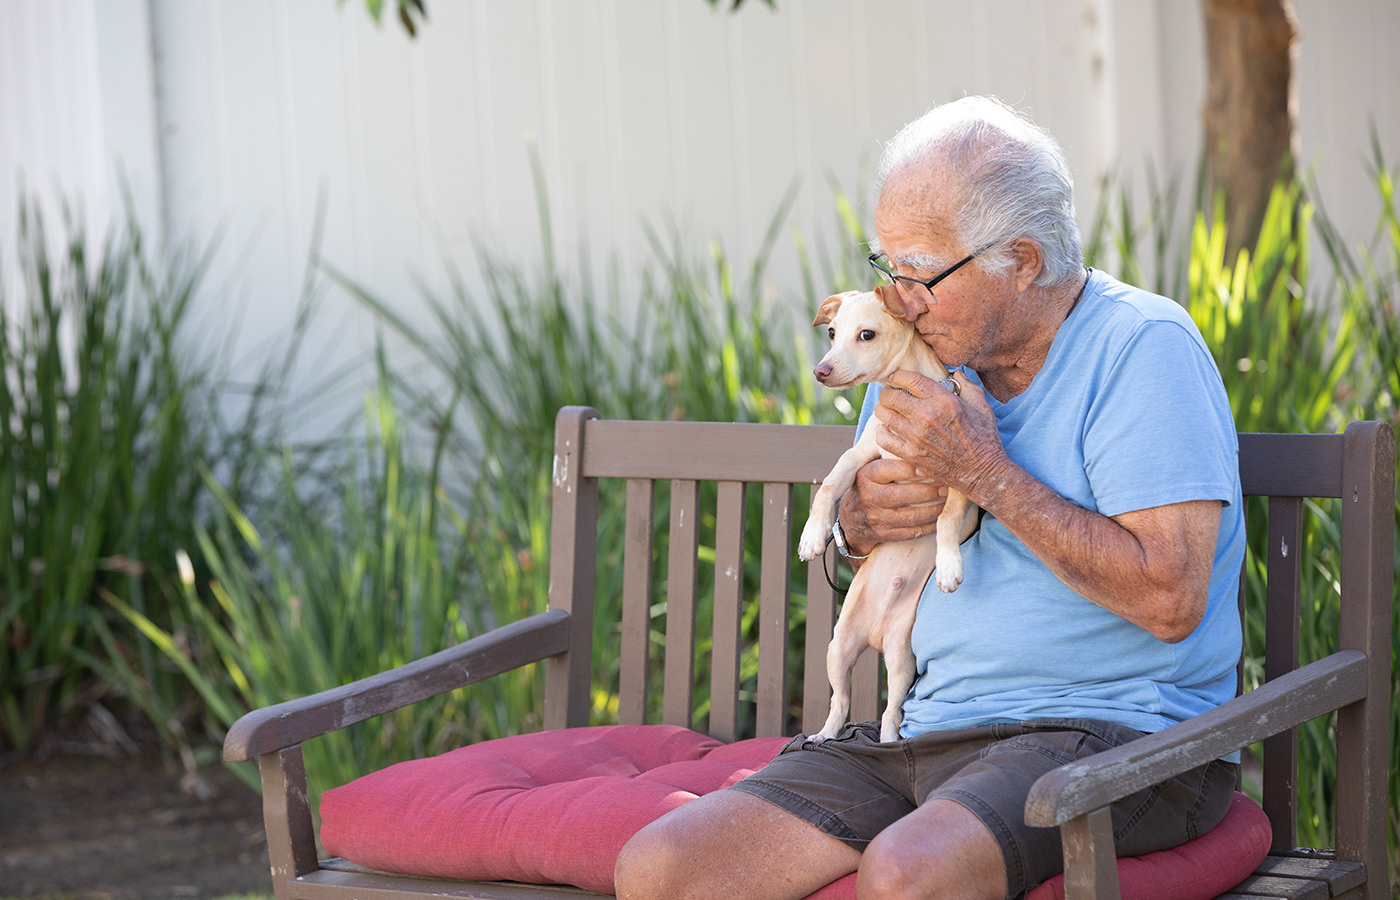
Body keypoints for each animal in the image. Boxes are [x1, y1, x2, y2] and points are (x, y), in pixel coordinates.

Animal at [800, 285, 985, 744]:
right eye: (831, 332)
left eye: (866, 335)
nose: (820, 371)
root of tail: (876, 635)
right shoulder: (859, 458)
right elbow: (828, 488)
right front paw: (811, 538)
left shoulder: (961, 478)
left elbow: (945, 520)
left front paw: (949, 567)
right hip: (838, 648)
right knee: (840, 701)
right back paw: (824, 735)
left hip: (903, 660)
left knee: (891, 711)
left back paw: (886, 744)